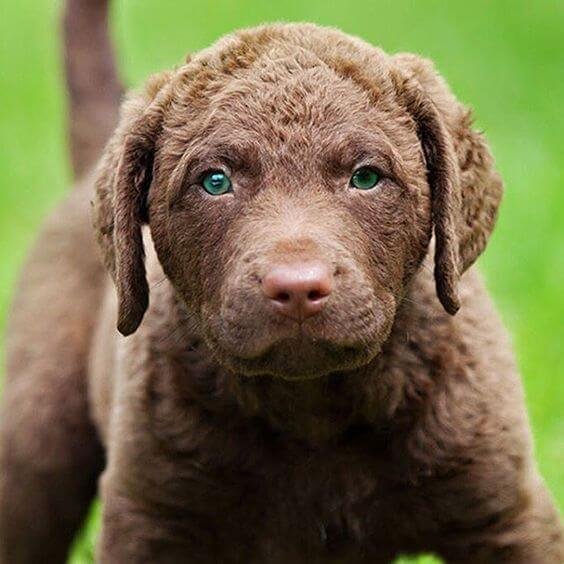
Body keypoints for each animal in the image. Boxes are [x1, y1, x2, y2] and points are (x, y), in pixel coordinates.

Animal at [0, 11, 560, 564]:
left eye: (366, 177)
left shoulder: (508, 516)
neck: (313, 410)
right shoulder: (149, 518)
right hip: (35, 438)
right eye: (215, 182)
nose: (296, 288)